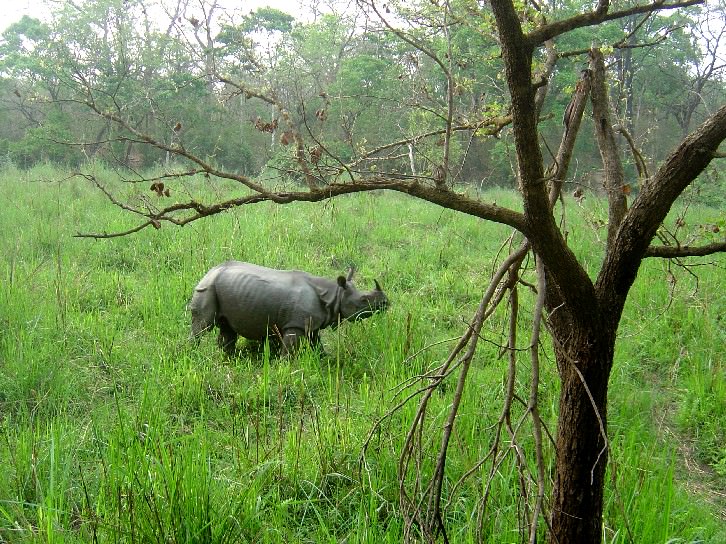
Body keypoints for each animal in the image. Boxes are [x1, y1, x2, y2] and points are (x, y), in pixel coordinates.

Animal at [191, 262, 390, 354]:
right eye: (363, 300)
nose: (386, 303)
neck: (334, 295)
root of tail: (210, 270)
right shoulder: (295, 325)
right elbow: (290, 351)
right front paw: (285, 368)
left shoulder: (310, 323)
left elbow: (317, 344)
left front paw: (325, 359)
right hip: (208, 287)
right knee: (203, 325)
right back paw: (192, 353)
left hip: (223, 288)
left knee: (227, 328)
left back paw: (228, 358)